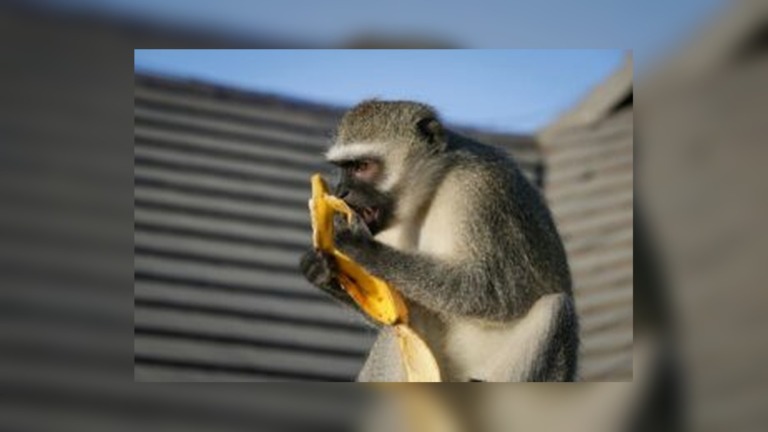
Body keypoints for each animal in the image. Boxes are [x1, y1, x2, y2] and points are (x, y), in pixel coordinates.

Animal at [299, 100, 578, 382]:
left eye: (362, 167)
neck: (433, 188)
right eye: (343, 168)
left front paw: (363, 248)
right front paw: (321, 271)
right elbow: (398, 310)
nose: (341, 190)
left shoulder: (483, 190)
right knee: (399, 328)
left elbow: (497, 291)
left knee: (556, 308)